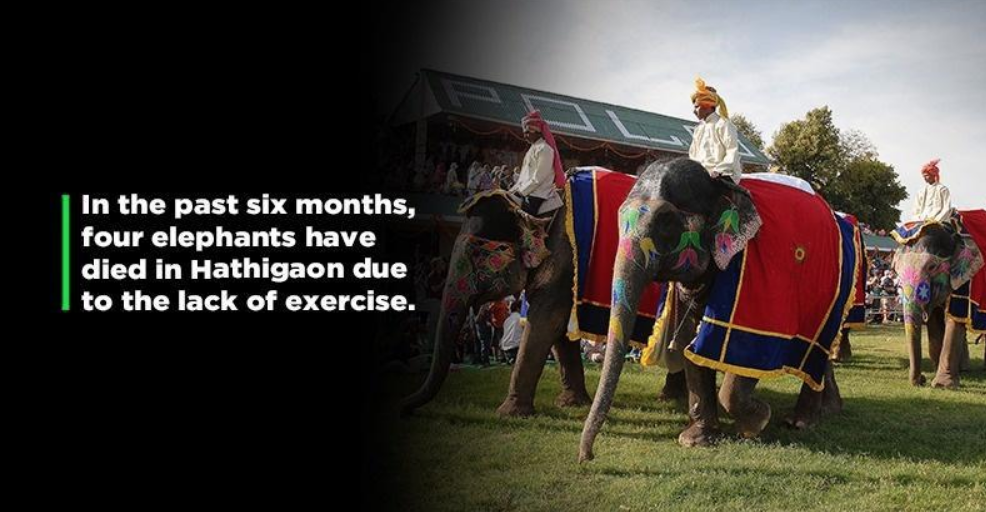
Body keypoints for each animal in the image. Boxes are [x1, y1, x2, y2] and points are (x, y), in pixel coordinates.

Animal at [579, 158, 850, 461]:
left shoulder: (759, 282)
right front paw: (696, 440)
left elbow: (749, 351)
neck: (718, 185)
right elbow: (689, 343)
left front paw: (757, 423)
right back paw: (830, 409)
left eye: (666, 222)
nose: (588, 457)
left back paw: (801, 422)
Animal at [891, 221, 983, 388]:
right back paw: (964, 370)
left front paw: (942, 384)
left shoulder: (965, 282)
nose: (922, 379)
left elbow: (953, 320)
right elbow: (935, 322)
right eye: (896, 270)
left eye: (932, 267)